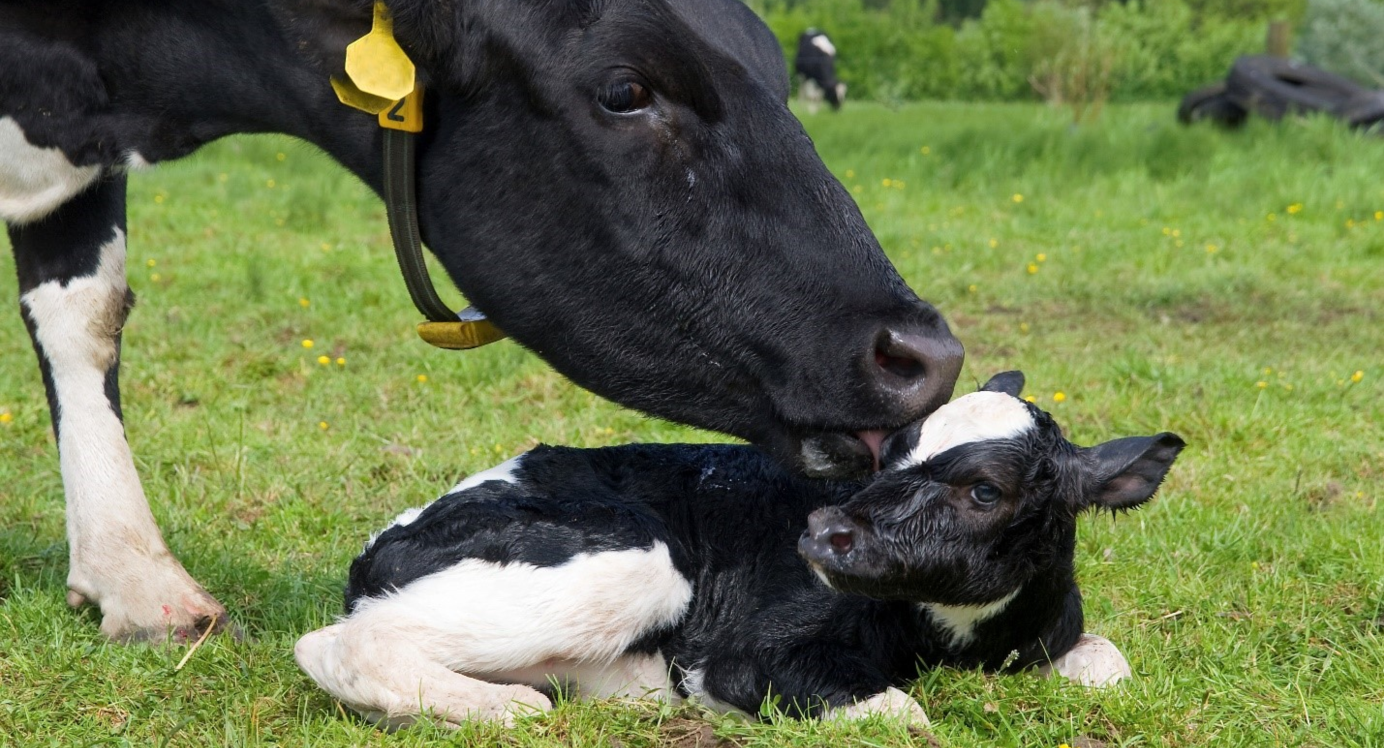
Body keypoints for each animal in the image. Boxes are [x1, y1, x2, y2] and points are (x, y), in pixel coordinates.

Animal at [297, 374, 1184, 731]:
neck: (951, 639)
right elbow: (901, 712)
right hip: (636, 562)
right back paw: (506, 709)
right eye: (892, 451)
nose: (825, 531)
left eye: (985, 491)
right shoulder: (743, 655)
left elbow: (1108, 664)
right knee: (334, 643)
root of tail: (386, 541)